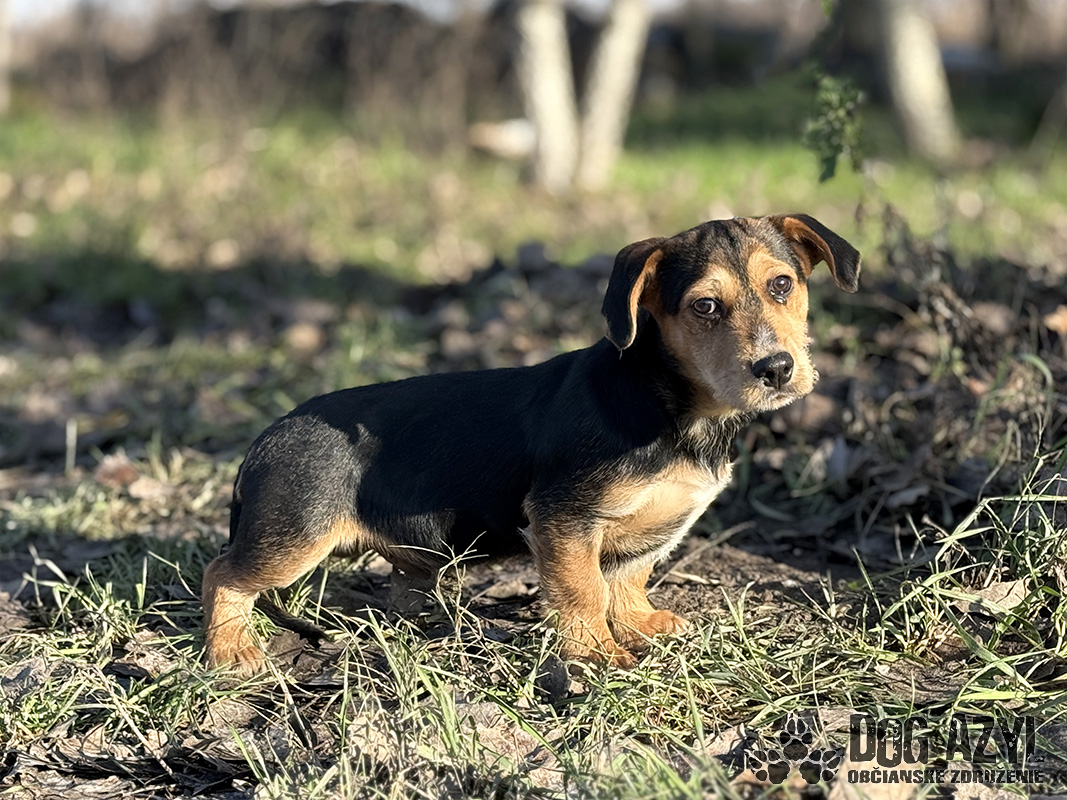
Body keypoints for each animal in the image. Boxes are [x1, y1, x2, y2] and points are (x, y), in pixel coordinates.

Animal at [201, 214, 860, 673]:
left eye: (782, 286)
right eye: (705, 306)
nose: (777, 369)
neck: (672, 403)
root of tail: (264, 440)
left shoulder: (646, 529)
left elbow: (628, 578)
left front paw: (639, 624)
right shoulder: (563, 516)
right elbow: (583, 590)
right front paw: (596, 655)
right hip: (294, 537)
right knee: (221, 573)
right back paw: (231, 648)